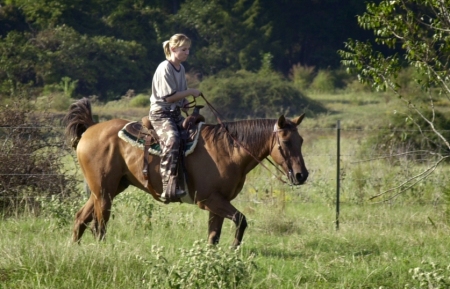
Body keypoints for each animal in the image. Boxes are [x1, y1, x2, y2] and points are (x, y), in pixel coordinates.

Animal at [64, 98, 310, 246]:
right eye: (285, 142)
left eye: (301, 140)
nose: (301, 175)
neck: (227, 150)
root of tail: (90, 128)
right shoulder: (209, 199)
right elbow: (240, 220)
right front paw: (234, 248)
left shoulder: (218, 202)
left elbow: (213, 236)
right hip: (104, 192)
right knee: (99, 225)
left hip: (109, 189)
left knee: (80, 219)